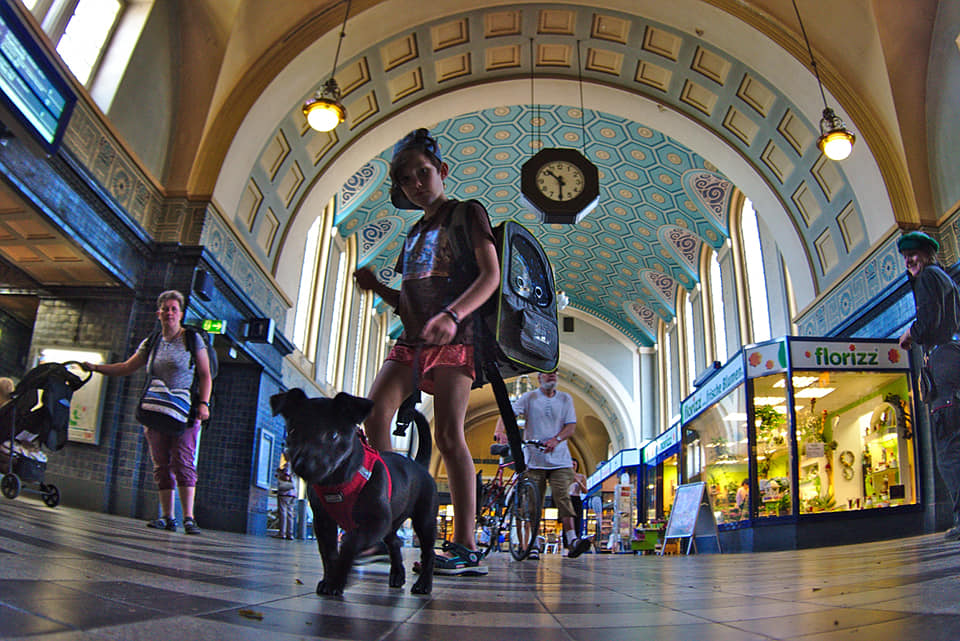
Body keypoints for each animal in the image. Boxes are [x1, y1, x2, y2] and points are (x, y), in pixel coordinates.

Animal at [268, 390, 436, 596]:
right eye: (292, 432)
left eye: (333, 435)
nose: (303, 465)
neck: (336, 482)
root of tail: (419, 465)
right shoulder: (323, 522)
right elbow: (328, 552)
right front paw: (330, 579)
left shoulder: (375, 522)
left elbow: (350, 542)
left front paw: (338, 580)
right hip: (391, 524)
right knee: (395, 543)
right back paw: (397, 575)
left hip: (424, 521)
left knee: (428, 552)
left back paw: (423, 584)